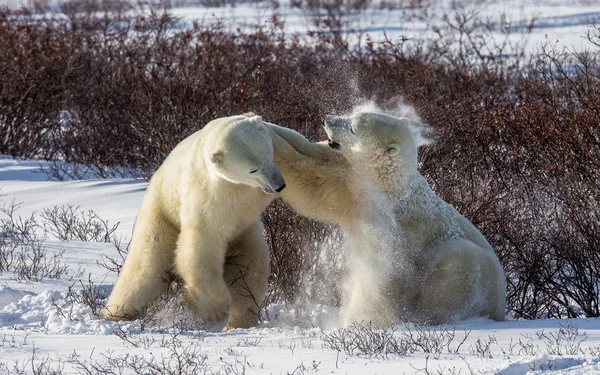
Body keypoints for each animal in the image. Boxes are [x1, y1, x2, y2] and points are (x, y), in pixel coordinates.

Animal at [103, 114, 286, 328]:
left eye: (268, 155)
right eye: (252, 170)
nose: (279, 185)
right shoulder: (208, 193)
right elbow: (201, 244)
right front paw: (214, 311)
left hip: (244, 236)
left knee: (251, 268)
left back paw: (241, 320)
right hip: (162, 217)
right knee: (145, 270)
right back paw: (116, 314)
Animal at [268, 112, 506, 328]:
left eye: (353, 127)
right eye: (351, 113)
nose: (327, 119)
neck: (386, 187)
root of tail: (501, 307)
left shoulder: (387, 223)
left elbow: (381, 274)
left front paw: (360, 321)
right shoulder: (351, 183)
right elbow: (312, 179)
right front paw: (268, 129)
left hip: (473, 270)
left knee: (456, 266)